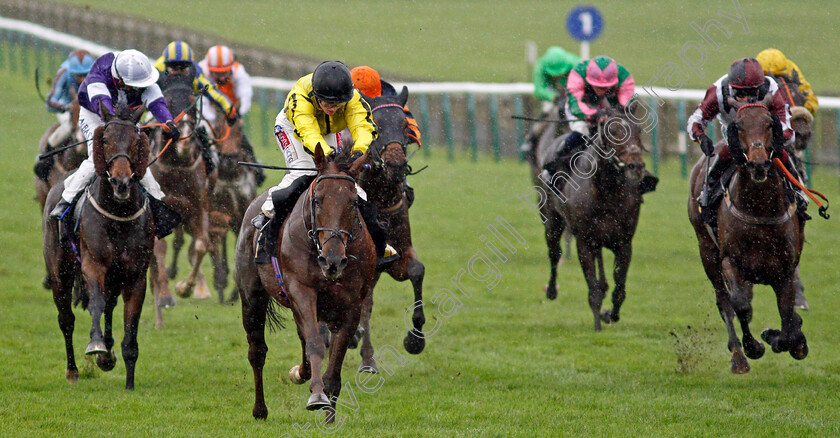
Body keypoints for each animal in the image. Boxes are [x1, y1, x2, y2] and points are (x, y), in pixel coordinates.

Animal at [42, 102, 155, 390]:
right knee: (66, 319)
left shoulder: (136, 276)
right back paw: (73, 370)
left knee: (110, 307)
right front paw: (96, 345)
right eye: (105, 139)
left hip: (115, 279)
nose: (121, 182)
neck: (118, 215)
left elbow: (130, 326)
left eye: (136, 140)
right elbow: (95, 303)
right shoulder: (93, 265)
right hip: (60, 272)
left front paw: (129, 381)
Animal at [231, 145, 372, 420]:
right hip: (252, 297)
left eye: (353, 202)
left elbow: (335, 359)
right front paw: (317, 396)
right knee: (257, 351)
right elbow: (316, 344)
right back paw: (260, 409)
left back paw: (301, 372)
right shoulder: (301, 290)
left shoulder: (351, 304)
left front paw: (329, 414)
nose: (333, 261)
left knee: (302, 337)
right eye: (317, 200)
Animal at [540, 107, 648, 332]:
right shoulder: (584, 242)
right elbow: (593, 289)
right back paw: (552, 290)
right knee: (554, 253)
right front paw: (598, 324)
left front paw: (609, 314)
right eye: (613, 132)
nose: (636, 166)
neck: (607, 193)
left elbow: (620, 289)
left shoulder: (624, 243)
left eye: (639, 129)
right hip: (552, 221)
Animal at [688, 99, 808, 372]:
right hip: (706, 250)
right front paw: (754, 346)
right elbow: (741, 304)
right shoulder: (731, 261)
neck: (760, 207)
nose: (758, 164)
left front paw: (788, 339)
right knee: (724, 301)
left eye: (769, 124)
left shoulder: (785, 268)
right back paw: (738, 355)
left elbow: (787, 317)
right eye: (739, 126)